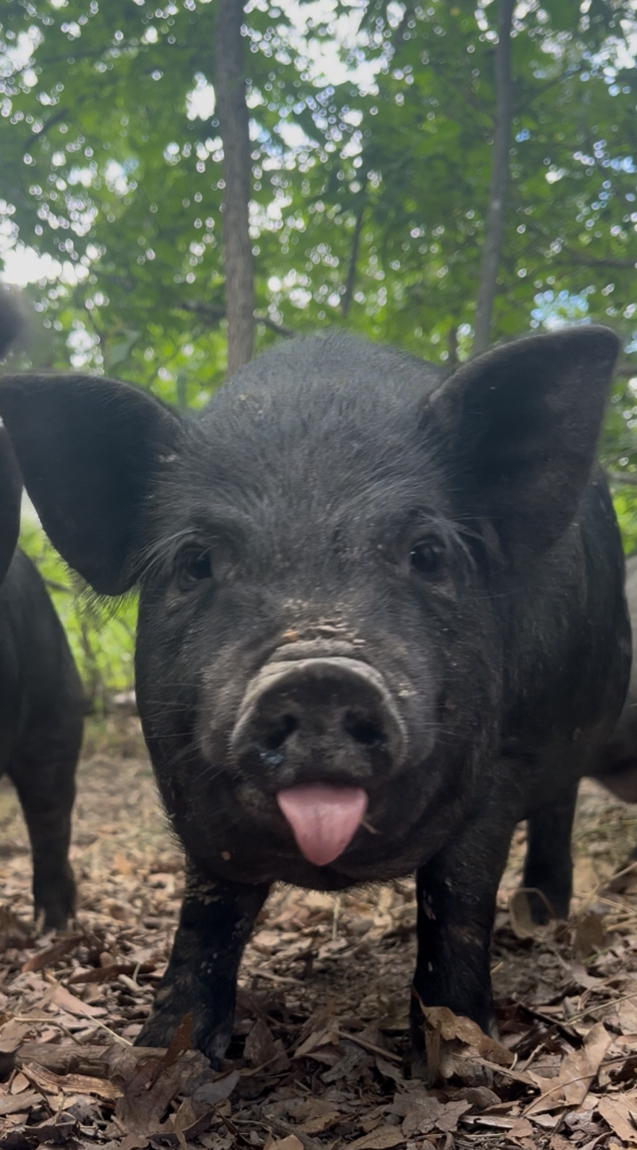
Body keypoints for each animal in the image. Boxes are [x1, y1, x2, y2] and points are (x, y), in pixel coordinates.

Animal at [0, 325, 630, 1059]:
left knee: (555, 813)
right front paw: (161, 1052)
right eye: (195, 562)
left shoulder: (502, 769)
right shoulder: (191, 805)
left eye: (427, 554)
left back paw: (541, 917)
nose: (319, 674)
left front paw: (462, 1054)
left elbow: (457, 895)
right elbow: (209, 918)